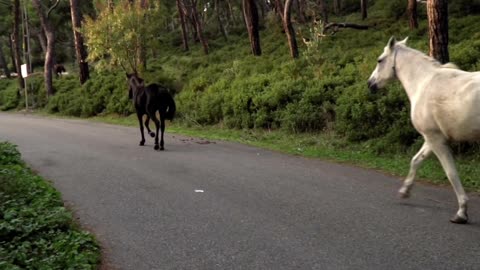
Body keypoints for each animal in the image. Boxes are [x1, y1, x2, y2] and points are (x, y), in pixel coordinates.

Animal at [368, 36, 480, 224]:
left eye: (380, 60)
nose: (370, 84)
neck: (423, 83)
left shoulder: (435, 139)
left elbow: (451, 173)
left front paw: (461, 213)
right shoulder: (431, 138)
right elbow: (416, 160)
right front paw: (405, 192)